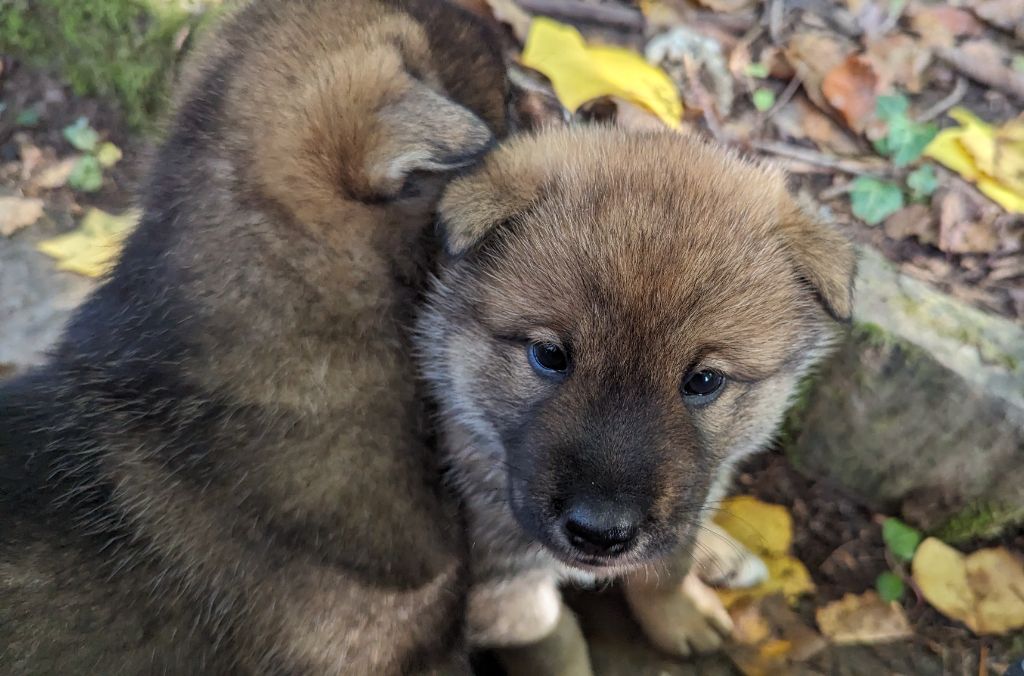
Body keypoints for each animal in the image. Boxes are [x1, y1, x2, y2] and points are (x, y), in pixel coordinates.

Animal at [415, 125, 856, 671]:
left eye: (704, 381)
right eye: (549, 355)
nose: (599, 532)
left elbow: (666, 568)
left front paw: (680, 613)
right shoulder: (501, 578)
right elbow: (551, 640)